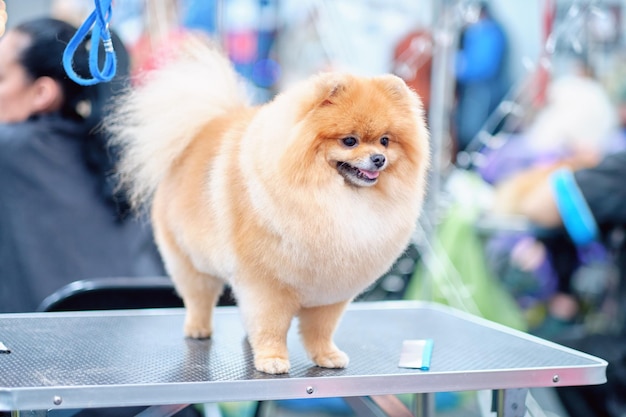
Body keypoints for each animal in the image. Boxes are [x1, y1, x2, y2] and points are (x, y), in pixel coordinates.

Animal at [108, 38, 428, 374]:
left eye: (385, 141)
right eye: (350, 141)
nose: (378, 159)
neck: (332, 199)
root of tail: (202, 129)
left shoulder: (329, 294)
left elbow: (320, 330)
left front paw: (326, 355)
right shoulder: (265, 286)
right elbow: (270, 326)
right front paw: (272, 359)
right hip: (188, 260)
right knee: (199, 296)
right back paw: (198, 328)